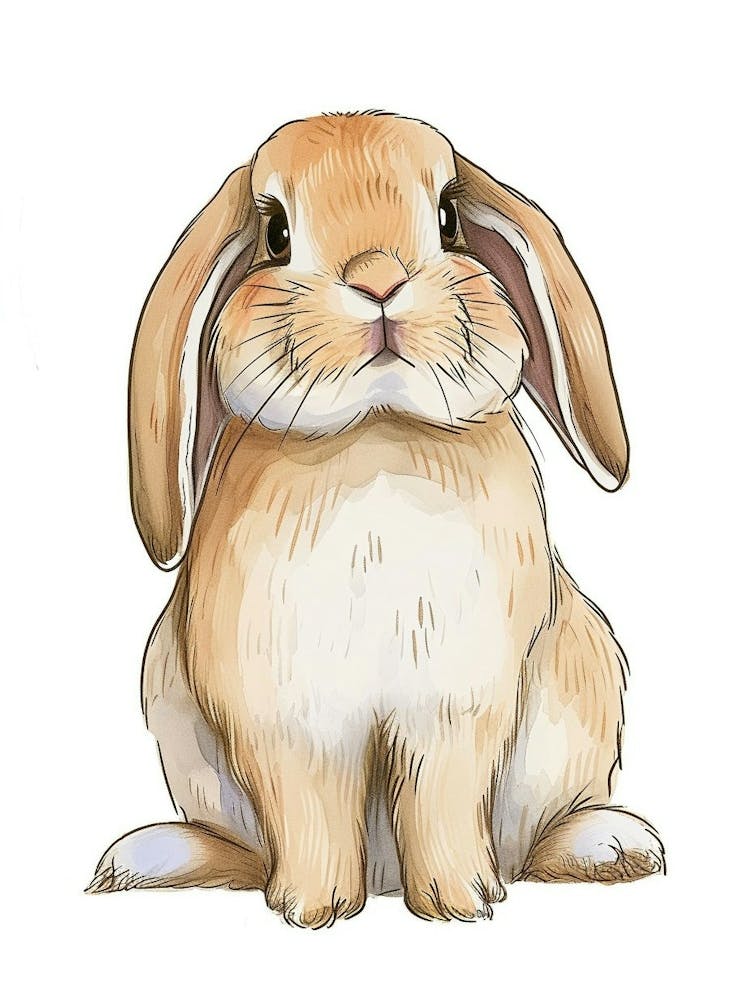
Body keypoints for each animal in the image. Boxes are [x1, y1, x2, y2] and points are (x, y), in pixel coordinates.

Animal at [87, 111, 664, 925]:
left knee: (531, 840)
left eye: (449, 218)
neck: (376, 430)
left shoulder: (454, 708)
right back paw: (143, 859)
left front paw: (459, 903)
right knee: (247, 850)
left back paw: (613, 845)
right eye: (275, 233)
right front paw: (314, 909)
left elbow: (441, 800)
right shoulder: (288, 722)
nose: (378, 279)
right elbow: (310, 811)